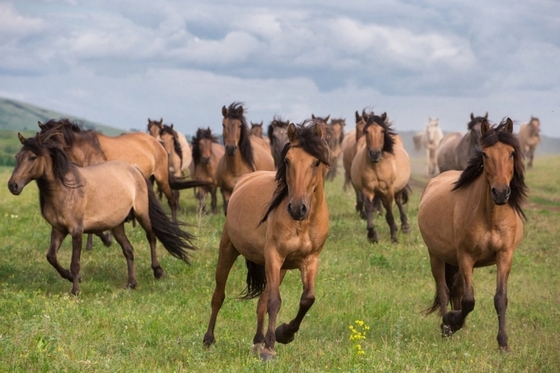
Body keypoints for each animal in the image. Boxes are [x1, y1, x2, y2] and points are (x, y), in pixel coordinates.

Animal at [7, 131, 198, 294]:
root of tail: (134, 170)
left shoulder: (76, 231)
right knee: (128, 250)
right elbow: (51, 257)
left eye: (32, 157)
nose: (12, 185)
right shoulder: (58, 230)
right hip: (117, 225)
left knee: (151, 237)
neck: (65, 189)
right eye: (17, 157)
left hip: (142, 214)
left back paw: (158, 271)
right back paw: (131, 283)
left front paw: (75, 290)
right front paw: (72, 278)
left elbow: (75, 262)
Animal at [203, 121, 330, 360]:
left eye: (316, 162)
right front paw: (271, 347)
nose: (297, 208)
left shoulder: (310, 260)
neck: (302, 223)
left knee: (261, 301)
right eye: (287, 161)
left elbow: (307, 299)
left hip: (280, 269)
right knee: (218, 295)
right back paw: (209, 339)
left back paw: (257, 341)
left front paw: (284, 334)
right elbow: (274, 301)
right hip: (228, 250)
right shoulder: (274, 256)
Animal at [350, 112, 412, 243]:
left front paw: (394, 238)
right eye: (367, 131)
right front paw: (372, 235)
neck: (377, 167)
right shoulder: (367, 190)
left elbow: (389, 214)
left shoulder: (388, 191)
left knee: (399, 203)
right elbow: (368, 209)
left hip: (398, 189)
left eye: (382, 131)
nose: (374, 154)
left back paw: (405, 226)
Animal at [418, 117, 528, 350]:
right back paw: (447, 326)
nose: (501, 193)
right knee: (444, 290)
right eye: (485, 154)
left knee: (456, 289)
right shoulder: (466, 256)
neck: (490, 216)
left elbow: (500, 299)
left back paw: (460, 326)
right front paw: (451, 320)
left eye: (511, 153)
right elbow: (469, 301)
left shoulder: (504, 256)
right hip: (436, 256)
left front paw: (503, 344)